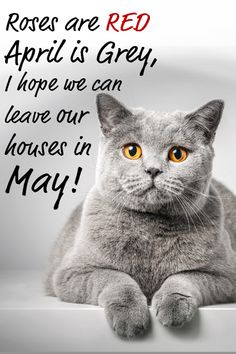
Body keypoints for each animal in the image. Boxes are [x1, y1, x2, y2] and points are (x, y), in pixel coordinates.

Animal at [45, 94, 236, 338]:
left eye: (178, 154)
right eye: (132, 151)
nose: (153, 170)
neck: (151, 230)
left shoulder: (225, 276)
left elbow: (184, 277)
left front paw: (173, 307)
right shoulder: (72, 273)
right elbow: (115, 278)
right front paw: (130, 317)